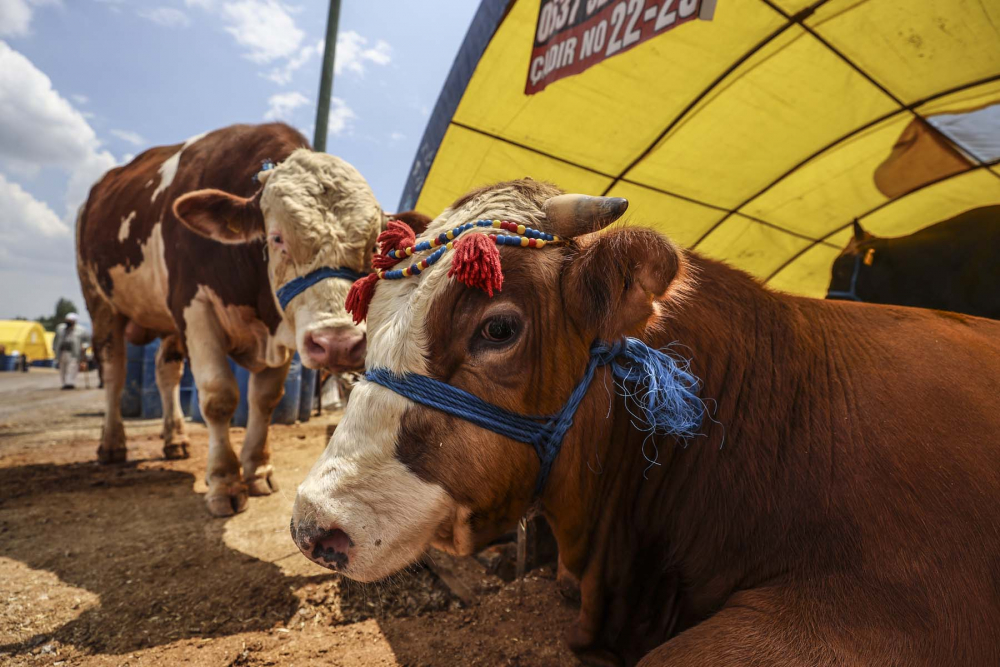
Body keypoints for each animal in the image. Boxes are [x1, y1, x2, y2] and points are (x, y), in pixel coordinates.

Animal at [75, 124, 382, 516]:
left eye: (373, 244)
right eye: (277, 238)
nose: (338, 343)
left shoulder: (282, 328)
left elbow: (264, 399)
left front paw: (257, 470)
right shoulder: (194, 307)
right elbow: (218, 397)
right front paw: (224, 480)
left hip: (168, 323)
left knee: (165, 371)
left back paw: (175, 438)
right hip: (101, 302)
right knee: (114, 371)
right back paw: (112, 444)